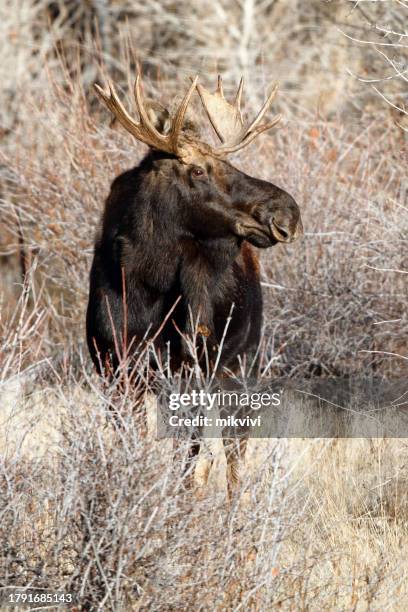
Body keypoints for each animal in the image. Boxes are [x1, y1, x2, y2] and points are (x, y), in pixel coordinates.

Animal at [87, 74, 302, 494]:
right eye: (199, 170)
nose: (287, 211)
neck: (146, 284)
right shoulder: (114, 369)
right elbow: (131, 443)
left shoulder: (190, 372)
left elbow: (188, 454)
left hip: (239, 365)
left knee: (234, 451)